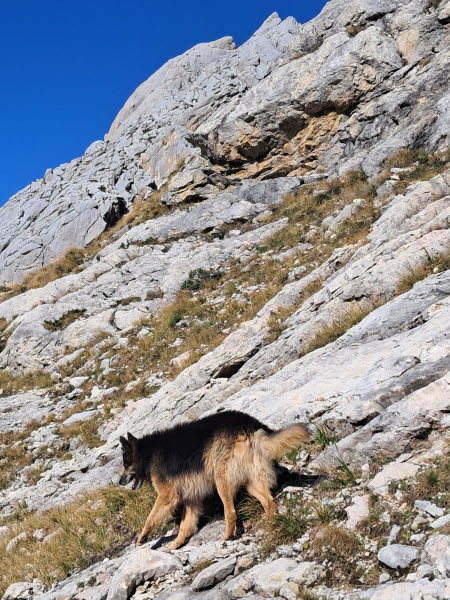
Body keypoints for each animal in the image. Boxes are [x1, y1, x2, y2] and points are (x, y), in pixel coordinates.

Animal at [118, 410, 310, 552]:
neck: (148, 454)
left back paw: (227, 537)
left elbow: (150, 518)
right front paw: (175, 545)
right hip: (249, 479)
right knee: (268, 501)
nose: (120, 482)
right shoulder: (191, 499)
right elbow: (185, 525)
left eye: (126, 464)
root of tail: (248, 424)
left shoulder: (168, 496)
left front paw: (142, 537)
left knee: (231, 512)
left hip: (222, 479)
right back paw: (271, 523)